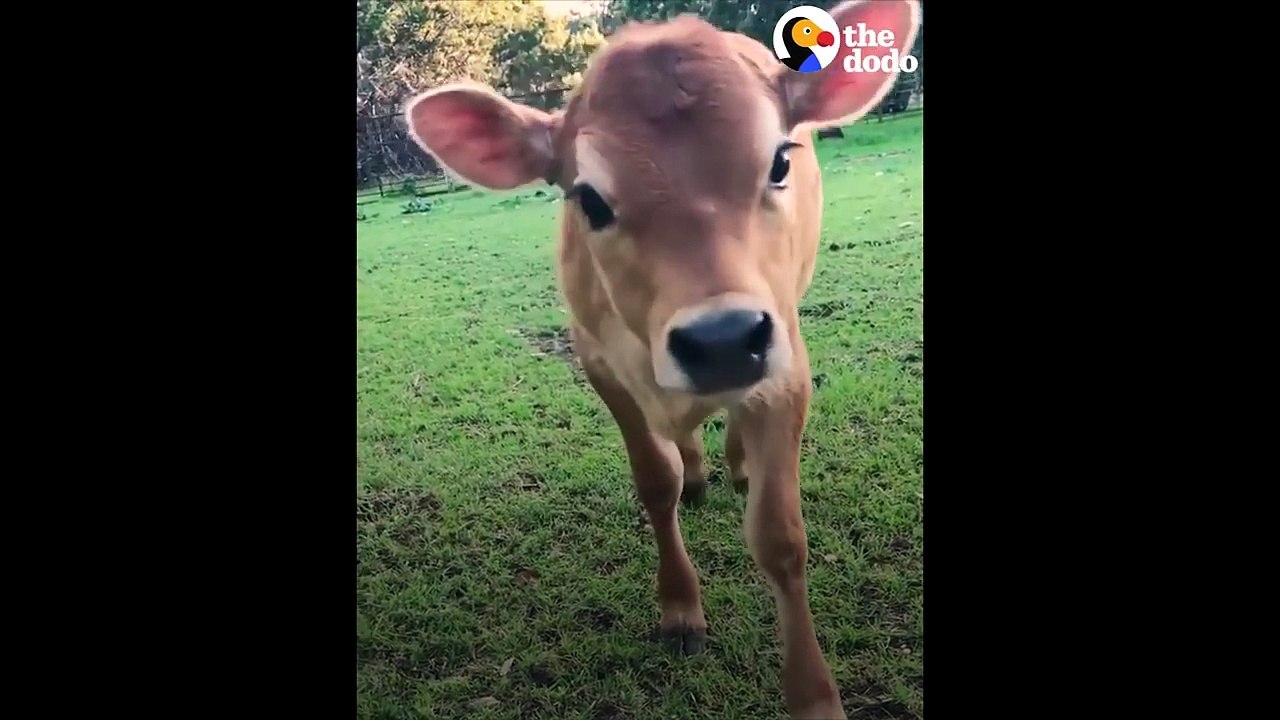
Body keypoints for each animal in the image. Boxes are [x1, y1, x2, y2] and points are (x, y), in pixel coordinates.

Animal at [402, 2, 921, 717]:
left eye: (779, 162)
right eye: (589, 198)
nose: (724, 338)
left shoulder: (786, 365)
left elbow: (780, 538)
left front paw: (814, 694)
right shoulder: (598, 362)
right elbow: (655, 482)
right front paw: (679, 608)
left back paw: (734, 464)